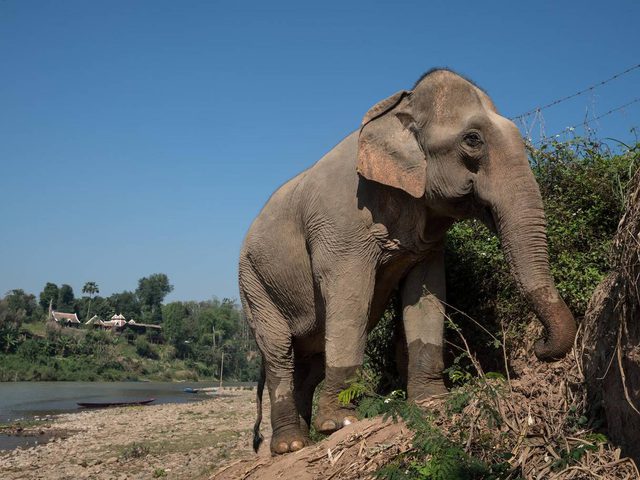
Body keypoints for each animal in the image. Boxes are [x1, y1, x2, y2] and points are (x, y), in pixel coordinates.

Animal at [238, 67, 576, 454]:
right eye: (472, 140)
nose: (539, 346)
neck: (400, 109)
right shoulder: (340, 225)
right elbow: (351, 297)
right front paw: (340, 424)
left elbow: (427, 292)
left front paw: (431, 401)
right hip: (253, 285)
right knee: (280, 352)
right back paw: (290, 446)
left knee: (309, 361)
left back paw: (303, 441)